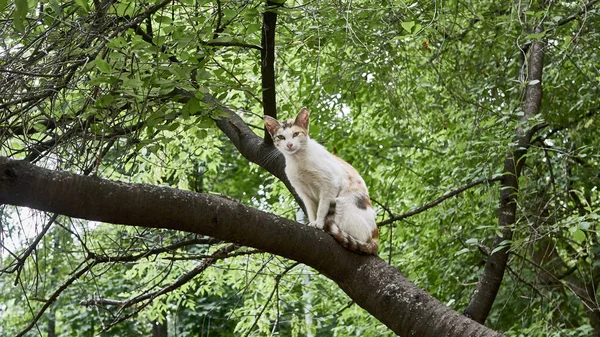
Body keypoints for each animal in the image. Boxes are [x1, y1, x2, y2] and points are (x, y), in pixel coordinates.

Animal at [264, 107, 378, 255]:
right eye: (281, 137)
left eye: (296, 134)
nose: (289, 144)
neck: (298, 161)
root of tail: (375, 238)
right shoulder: (303, 193)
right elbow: (311, 209)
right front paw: (313, 223)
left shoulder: (330, 184)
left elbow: (322, 208)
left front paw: (319, 223)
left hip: (343, 203)